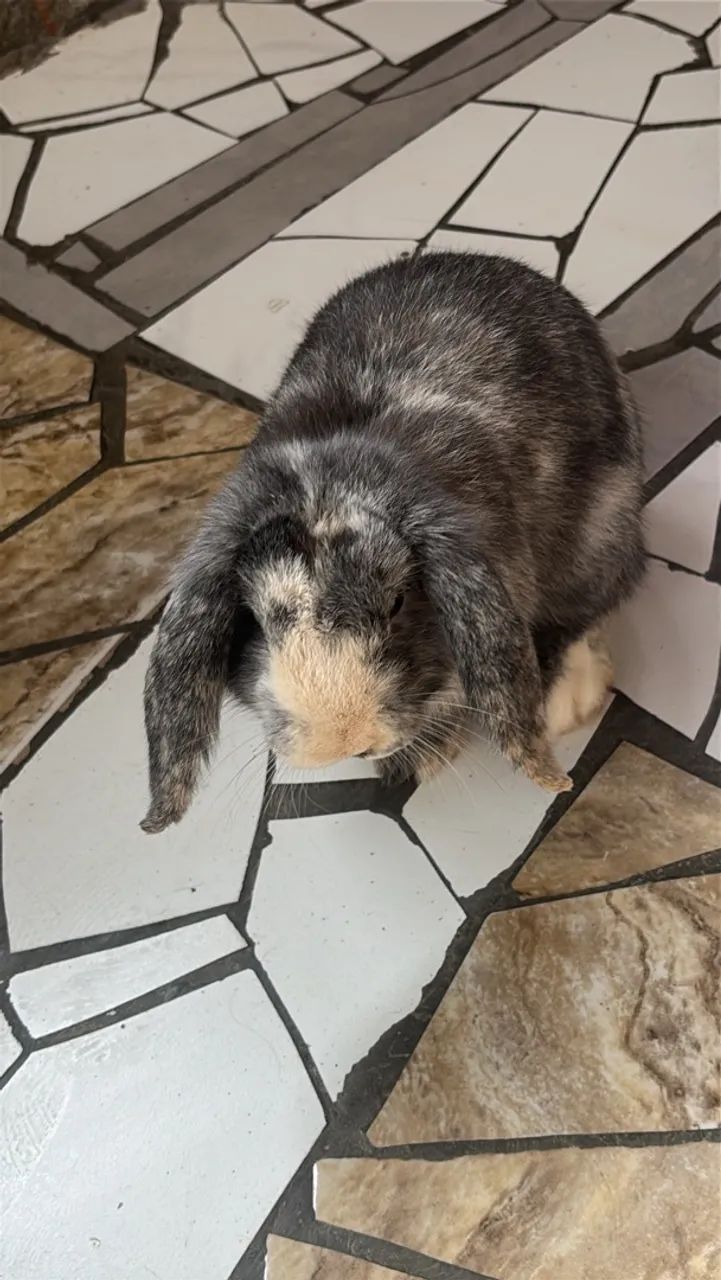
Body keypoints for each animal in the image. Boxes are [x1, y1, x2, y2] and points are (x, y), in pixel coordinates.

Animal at [141, 251, 645, 833]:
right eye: (258, 622)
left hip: (605, 528)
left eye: (399, 603)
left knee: (582, 610)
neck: (328, 480)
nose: (344, 739)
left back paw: (570, 701)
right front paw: (419, 758)